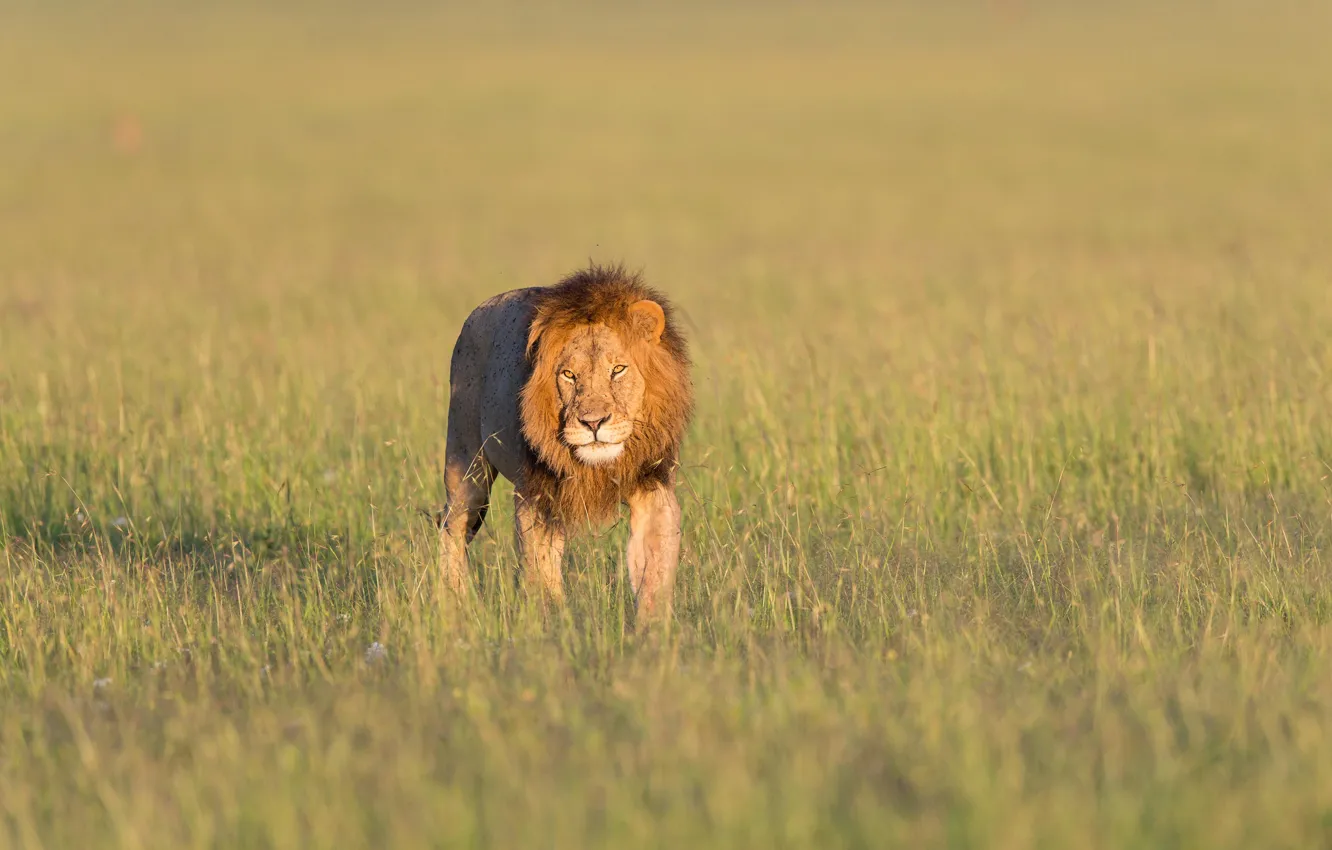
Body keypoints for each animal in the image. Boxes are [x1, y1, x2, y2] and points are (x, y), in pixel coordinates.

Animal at [439, 266, 697, 626]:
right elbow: (542, 574)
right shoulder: (537, 496)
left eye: (618, 369)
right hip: (466, 466)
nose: (593, 422)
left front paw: (653, 630)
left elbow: (655, 571)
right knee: (451, 528)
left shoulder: (652, 486)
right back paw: (455, 605)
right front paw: (556, 628)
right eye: (569, 375)